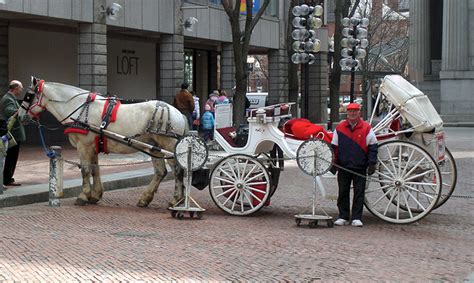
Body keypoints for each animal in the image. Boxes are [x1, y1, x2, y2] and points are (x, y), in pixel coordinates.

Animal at [19, 76, 189, 207]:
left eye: (28, 96)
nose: (20, 116)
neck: (79, 108)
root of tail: (178, 113)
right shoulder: (93, 147)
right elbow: (95, 169)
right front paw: (95, 195)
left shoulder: (84, 146)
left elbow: (85, 169)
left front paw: (83, 196)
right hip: (154, 147)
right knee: (161, 172)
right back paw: (146, 198)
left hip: (168, 146)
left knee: (177, 170)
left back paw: (176, 199)